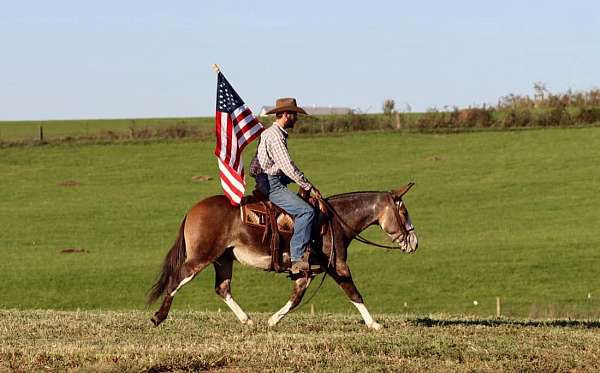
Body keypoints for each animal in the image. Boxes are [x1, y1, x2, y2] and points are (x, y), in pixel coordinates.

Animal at [147, 182, 418, 326]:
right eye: (404, 213)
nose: (415, 242)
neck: (335, 222)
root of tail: (193, 210)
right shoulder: (338, 266)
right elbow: (354, 292)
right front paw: (374, 324)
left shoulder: (306, 271)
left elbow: (296, 298)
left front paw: (273, 320)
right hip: (201, 257)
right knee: (177, 279)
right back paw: (158, 317)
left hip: (223, 259)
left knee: (222, 288)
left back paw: (247, 320)